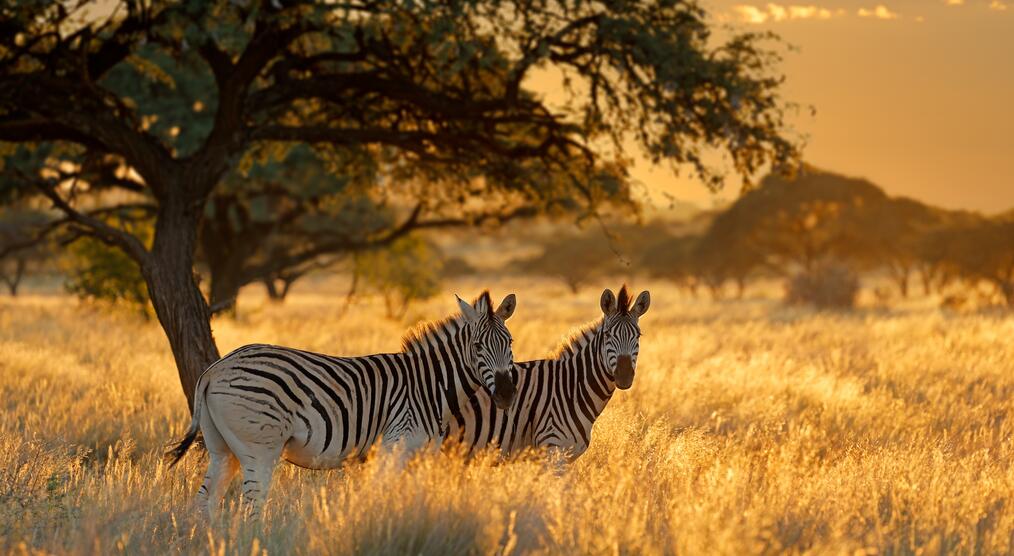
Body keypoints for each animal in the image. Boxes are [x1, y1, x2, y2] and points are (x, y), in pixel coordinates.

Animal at [168, 290, 515, 517]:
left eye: (509, 343)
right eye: (478, 346)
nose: (507, 394)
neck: (429, 386)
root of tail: (214, 369)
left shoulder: (418, 455)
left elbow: (413, 498)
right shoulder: (395, 444)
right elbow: (382, 495)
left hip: (222, 447)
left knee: (205, 501)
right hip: (260, 447)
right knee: (253, 502)